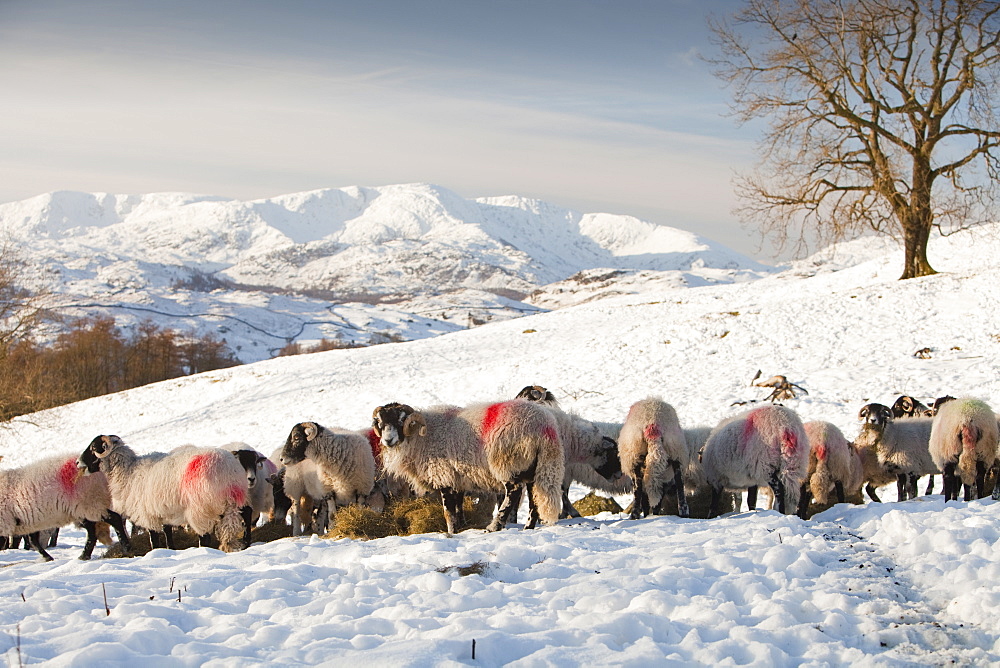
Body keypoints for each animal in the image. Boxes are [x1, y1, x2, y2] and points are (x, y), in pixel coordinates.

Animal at [0, 452, 130, 560]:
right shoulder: (26, 520)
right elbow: (33, 541)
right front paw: (47, 557)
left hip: (91, 503)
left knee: (115, 519)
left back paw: (126, 547)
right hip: (84, 509)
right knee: (92, 532)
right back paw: (84, 556)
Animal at [77, 434, 248, 552]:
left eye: (93, 448)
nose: (78, 462)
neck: (128, 472)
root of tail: (227, 471)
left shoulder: (148, 515)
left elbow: (154, 539)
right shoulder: (163, 512)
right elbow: (168, 536)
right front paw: (170, 551)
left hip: (200, 509)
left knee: (204, 536)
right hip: (236, 501)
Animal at [374, 400, 568, 536]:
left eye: (401, 420)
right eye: (380, 422)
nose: (388, 440)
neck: (422, 437)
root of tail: (544, 426)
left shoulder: (444, 476)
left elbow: (448, 512)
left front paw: (452, 532)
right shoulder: (458, 478)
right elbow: (459, 508)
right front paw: (462, 527)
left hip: (508, 462)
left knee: (513, 493)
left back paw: (494, 526)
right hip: (535, 467)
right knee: (534, 498)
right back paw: (528, 527)